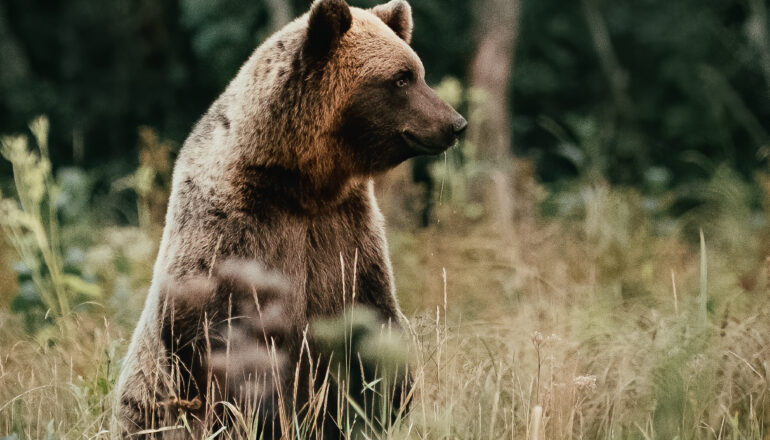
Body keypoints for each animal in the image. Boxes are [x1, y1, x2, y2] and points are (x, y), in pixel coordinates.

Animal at [113, 0, 467, 437]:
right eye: (401, 79)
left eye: (418, 72)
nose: (455, 123)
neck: (302, 184)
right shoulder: (233, 233)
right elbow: (223, 343)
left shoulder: (346, 230)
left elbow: (371, 321)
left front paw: (385, 398)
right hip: (146, 406)